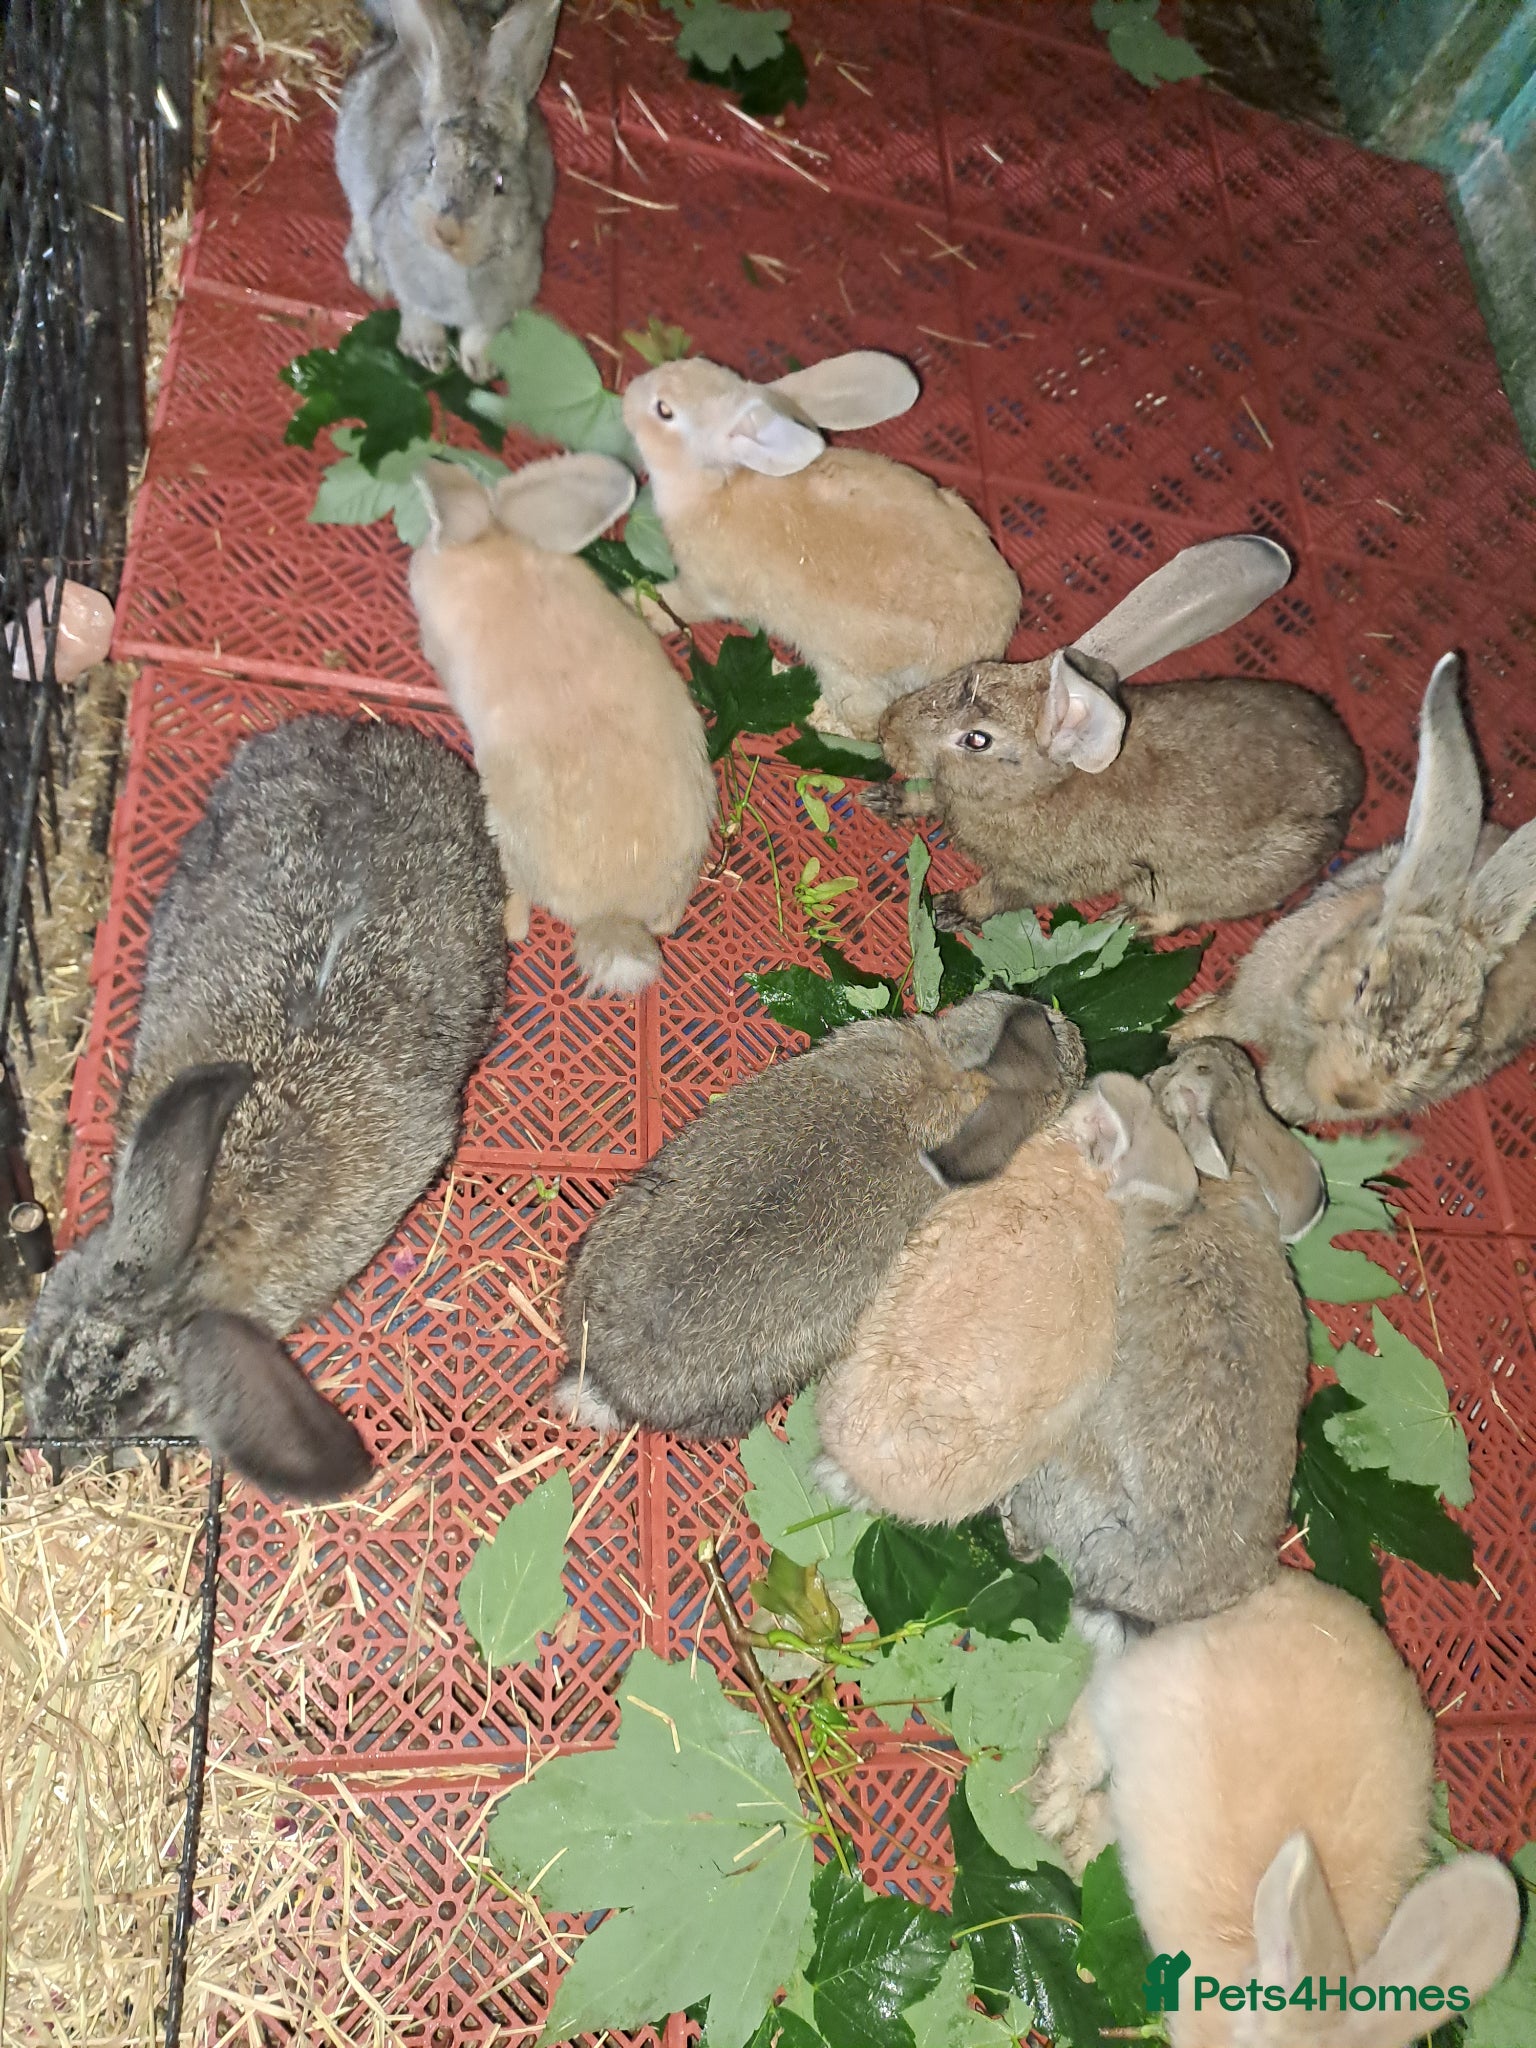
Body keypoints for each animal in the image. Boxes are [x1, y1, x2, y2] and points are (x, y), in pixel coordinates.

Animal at [335, 0, 560, 383]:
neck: (457, 268)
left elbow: (481, 334)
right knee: (360, 215)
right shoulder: (407, 282)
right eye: (433, 163)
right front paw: (427, 353)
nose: (447, 230)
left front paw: (482, 368)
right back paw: (369, 272)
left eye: (500, 183)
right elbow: (417, 312)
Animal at [620, 351, 1022, 740]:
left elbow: (676, 603)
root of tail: (991, 641)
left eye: (664, 411)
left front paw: (632, 603)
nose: (626, 395)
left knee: (868, 727)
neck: (715, 485)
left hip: (845, 670)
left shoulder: (704, 590)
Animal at [869, 538, 1361, 935]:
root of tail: (1354, 785)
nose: (886, 730)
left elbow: (998, 895)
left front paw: (950, 910)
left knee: (1178, 912)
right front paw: (886, 800)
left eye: (976, 740)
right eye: (969, 671)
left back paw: (1127, 923)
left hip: (1206, 886)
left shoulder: (1038, 878)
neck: (1036, 792)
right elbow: (930, 796)